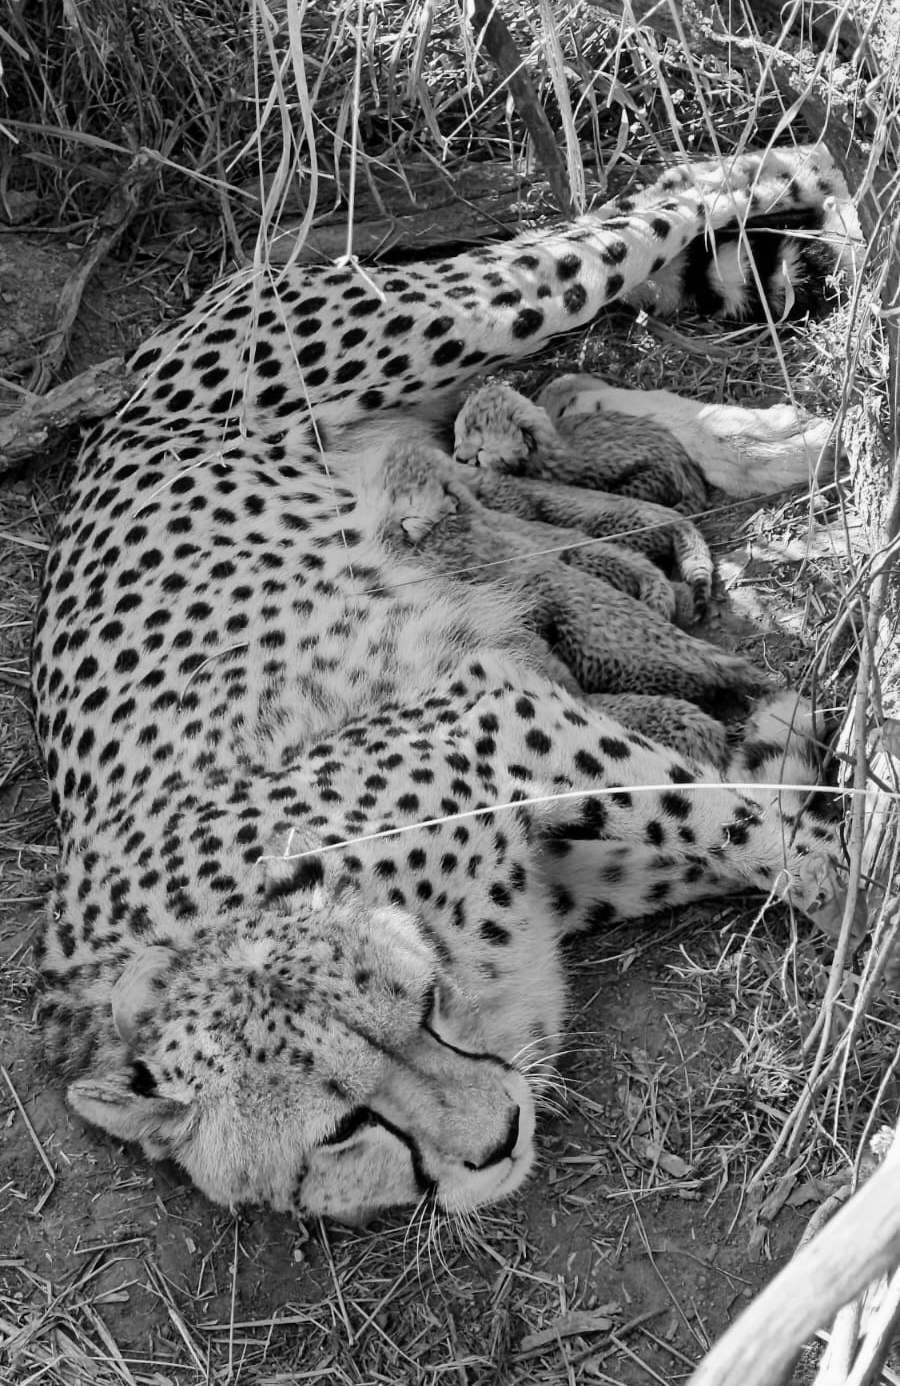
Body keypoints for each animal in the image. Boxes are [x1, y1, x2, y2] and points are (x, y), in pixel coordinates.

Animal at [32, 142, 861, 1226]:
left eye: (419, 1010)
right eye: (345, 1129)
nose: (498, 1140)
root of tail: (144, 361)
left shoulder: (498, 718)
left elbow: (733, 823)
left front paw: (859, 896)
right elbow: (734, 816)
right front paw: (784, 759)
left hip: (463, 313)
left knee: (681, 192)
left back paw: (826, 191)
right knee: (577, 379)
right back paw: (770, 443)